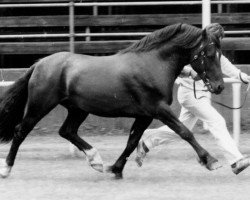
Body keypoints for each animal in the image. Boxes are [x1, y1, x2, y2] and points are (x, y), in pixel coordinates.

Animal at [0, 23, 225, 178]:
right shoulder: (158, 109)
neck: (152, 65)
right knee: (20, 131)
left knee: (67, 131)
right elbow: (184, 132)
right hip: (40, 106)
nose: (219, 87)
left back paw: (96, 161)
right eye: (209, 54)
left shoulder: (144, 116)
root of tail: (39, 64)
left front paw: (116, 169)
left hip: (78, 109)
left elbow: (132, 141)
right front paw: (211, 161)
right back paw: (6, 169)